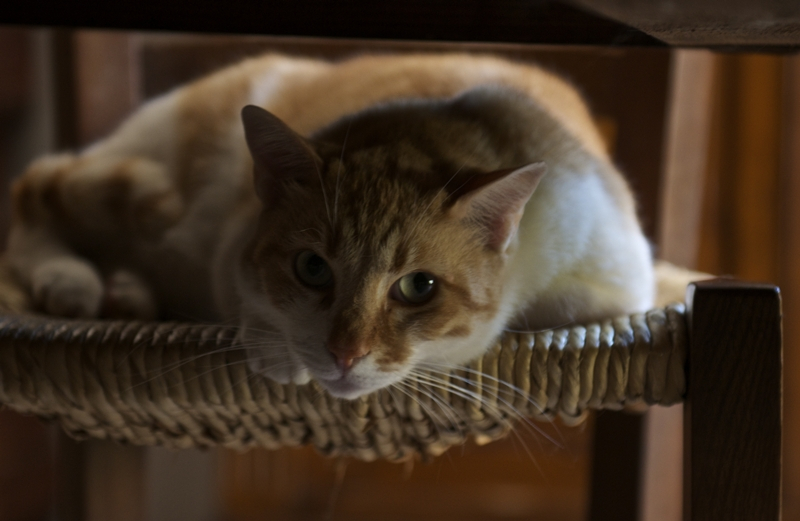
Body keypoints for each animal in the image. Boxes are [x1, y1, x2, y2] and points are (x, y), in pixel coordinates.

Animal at [3, 52, 652, 398]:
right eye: (312, 268)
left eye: (419, 287)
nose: (345, 354)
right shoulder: (232, 243)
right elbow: (245, 289)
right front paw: (277, 344)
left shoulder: (617, 278)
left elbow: (564, 306)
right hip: (135, 183)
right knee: (33, 194)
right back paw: (71, 280)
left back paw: (124, 290)